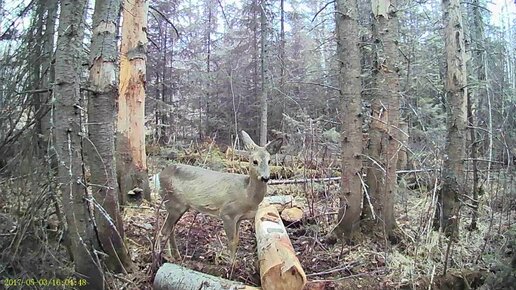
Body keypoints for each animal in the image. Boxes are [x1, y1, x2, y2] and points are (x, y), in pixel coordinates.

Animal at [159, 130, 284, 262]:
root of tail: (159, 175)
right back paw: (165, 257)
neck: (247, 195)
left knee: (170, 229)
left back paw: (176, 256)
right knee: (164, 231)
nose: (265, 178)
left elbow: (237, 240)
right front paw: (231, 265)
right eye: (255, 161)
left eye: (269, 161)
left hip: (178, 206)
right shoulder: (227, 213)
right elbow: (231, 242)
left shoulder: (239, 218)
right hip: (174, 203)